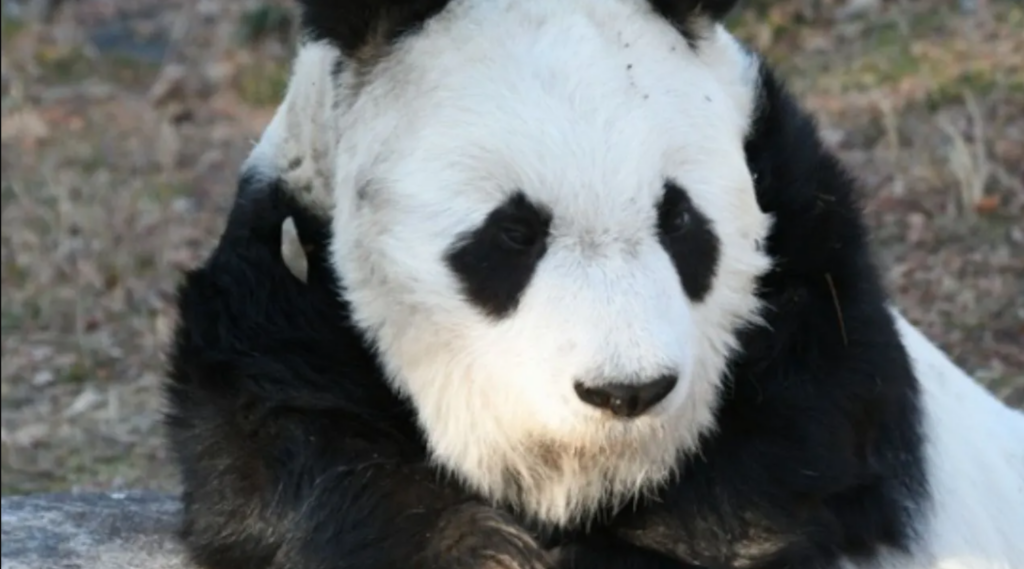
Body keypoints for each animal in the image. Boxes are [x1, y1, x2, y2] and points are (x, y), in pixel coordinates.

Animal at [163, 0, 1024, 568]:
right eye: (513, 233)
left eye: (679, 220)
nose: (626, 390)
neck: (592, 479)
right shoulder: (286, 299)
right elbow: (298, 463)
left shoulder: (814, 299)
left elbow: (790, 471)